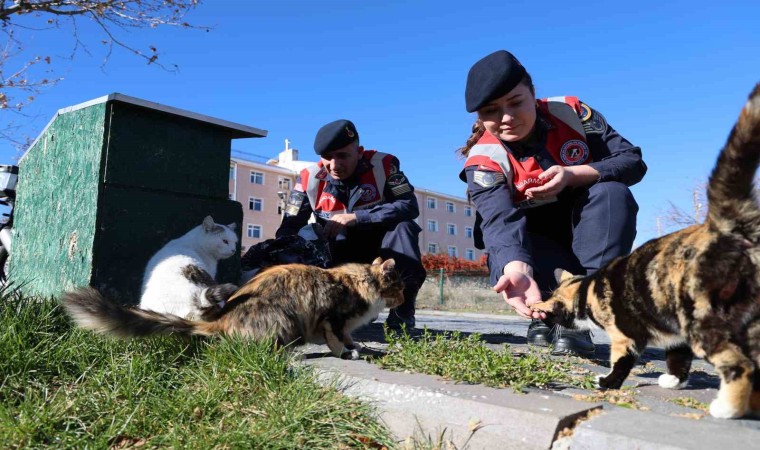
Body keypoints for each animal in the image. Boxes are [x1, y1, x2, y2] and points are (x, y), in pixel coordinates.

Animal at [63, 256, 404, 358]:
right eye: (400, 286)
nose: (403, 299)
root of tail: (220, 320)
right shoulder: (333, 317)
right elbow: (337, 340)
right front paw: (348, 353)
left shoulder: (342, 324)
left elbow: (349, 337)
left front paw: (359, 348)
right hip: (284, 317)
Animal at [532, 83, 760, 418]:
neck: (586, 289)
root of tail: (730, 227)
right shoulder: (673, 331)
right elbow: (678, 355)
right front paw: (674, 380)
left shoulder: (625, 335)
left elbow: (622, 362)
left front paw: (607, 382)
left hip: (706, 320)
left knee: (740, 364)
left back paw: (727, 407)